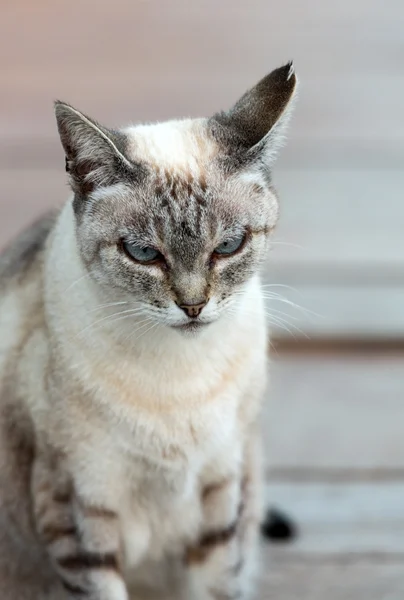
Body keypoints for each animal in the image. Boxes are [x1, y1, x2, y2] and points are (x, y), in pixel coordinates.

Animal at [0, 62, 296, 600]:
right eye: (143, 254)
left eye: (229, 246)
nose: (193, 305)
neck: (180, 381)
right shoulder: (78, 505)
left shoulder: (222, 491)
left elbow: (221, 584)